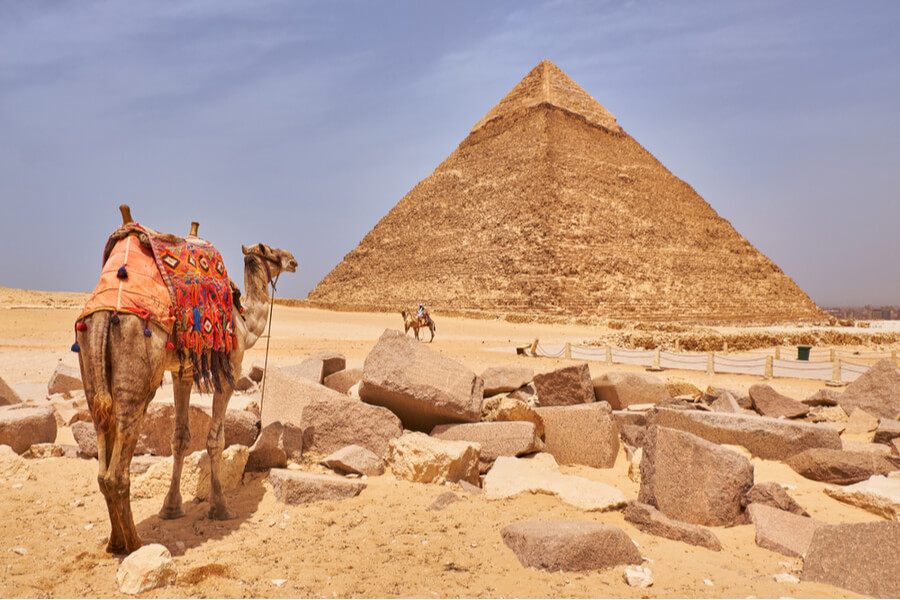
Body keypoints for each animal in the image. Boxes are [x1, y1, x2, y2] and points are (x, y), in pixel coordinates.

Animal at [75, 206, 296, 555]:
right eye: (272, 251)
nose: (293, 260)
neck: (245, 321)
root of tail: (101, 317)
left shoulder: (182, 371)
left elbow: (179, 438)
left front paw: (171, 507)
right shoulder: (230, 368)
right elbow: (215, 440)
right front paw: (219, 507)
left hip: (92, 371)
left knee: (102, 463)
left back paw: (115, 541)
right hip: (135, 378)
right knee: (116, 473)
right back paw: (134, 543)